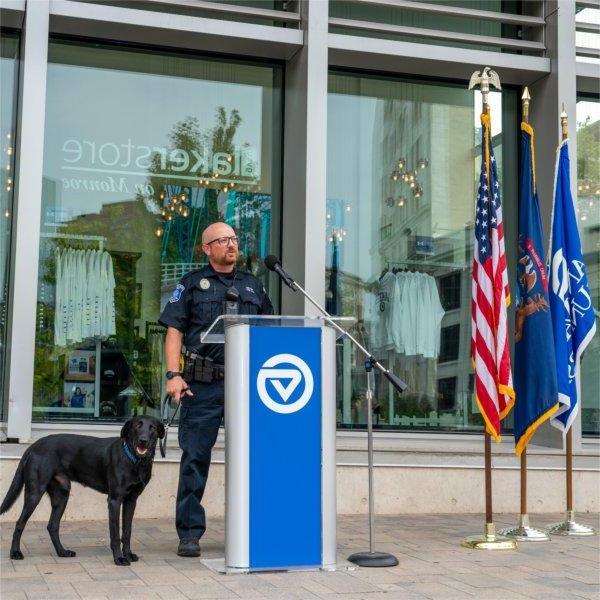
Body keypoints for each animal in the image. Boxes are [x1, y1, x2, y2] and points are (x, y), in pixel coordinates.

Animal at [0, 414, 164, 564]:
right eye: (137, 426)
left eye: (153, 428)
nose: (143, 440)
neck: (135, 461)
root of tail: (33, 446)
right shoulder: (114, 500)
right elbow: (115, 534)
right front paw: (118, 558)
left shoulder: (131, 501)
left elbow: (127, 532)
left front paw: (128, 554)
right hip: (35, 493)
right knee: (20, 523)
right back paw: (15, 553)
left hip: (62, 495)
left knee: (52, 526)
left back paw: (62, 552)